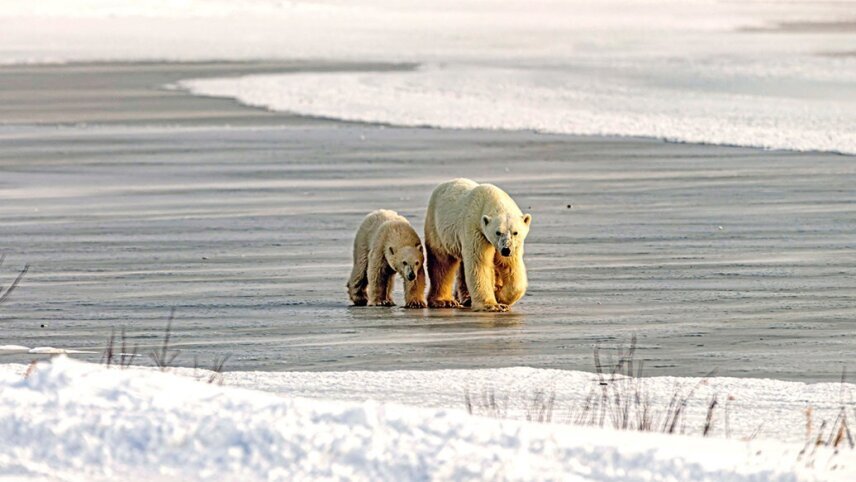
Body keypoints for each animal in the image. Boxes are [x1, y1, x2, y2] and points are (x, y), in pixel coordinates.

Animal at [424, 178, 531, 312]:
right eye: (498, 232)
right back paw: (443, 301)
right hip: (438, 228)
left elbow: (510, 266)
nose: (506, 250)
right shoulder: (476, 230)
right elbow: (479, 263)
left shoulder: (513, 247)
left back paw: (465, 298)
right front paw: (492, 304)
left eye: (515, 232)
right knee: (442, 262)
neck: (492, 199)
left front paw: (500, 297)